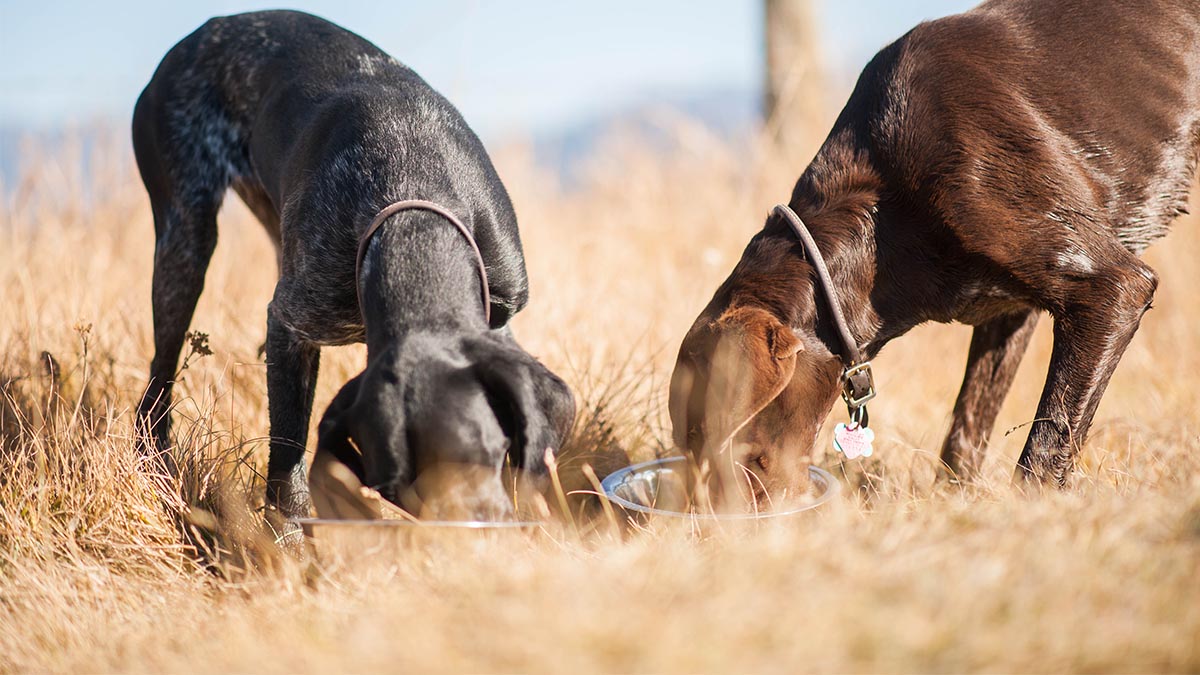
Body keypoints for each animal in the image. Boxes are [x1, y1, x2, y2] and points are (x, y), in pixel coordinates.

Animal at [133, 11, 573, 526]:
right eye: (395, 493)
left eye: (479, 457)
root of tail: (204, 30)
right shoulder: (294, 324)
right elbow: (287, 458)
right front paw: (287, 536)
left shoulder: (498, 312)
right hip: (185, 236)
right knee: (159, 377)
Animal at [672, 0, 1200, 494]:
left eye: (706, 433)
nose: (706, 516)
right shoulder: (1011, 310)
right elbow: (967, 427)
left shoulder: (1112, 289)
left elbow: (1047, 445)